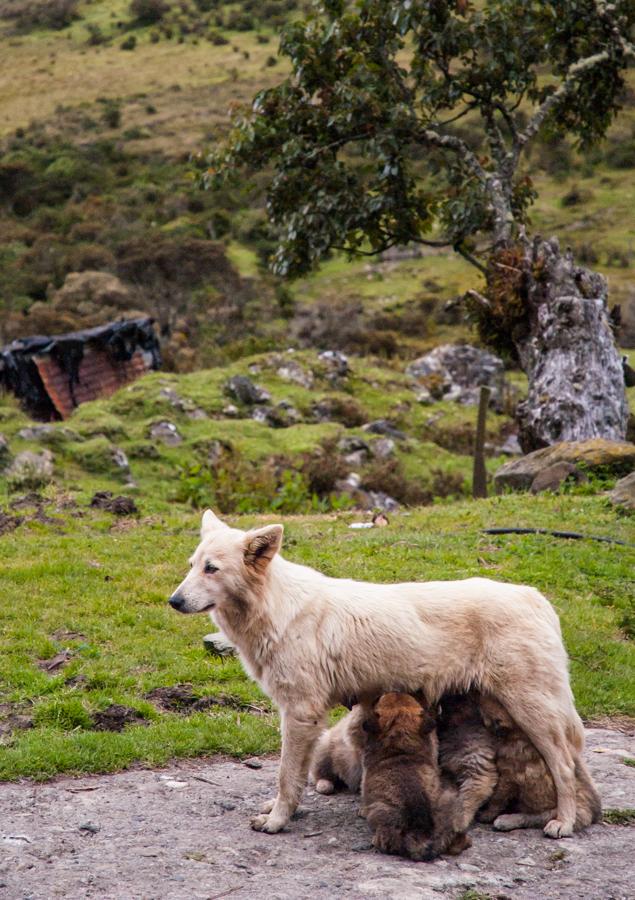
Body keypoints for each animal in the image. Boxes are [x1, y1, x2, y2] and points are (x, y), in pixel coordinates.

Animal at [169, 510, 588, 840]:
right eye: (192, 565)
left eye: (212, 568)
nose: (173, 601)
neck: (275, 607)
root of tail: (535, 597)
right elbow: (294, 777)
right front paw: (281, 811)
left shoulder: (301, 714)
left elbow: (287, 776)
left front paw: (277, 821)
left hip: (532, 712)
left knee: (564, 766)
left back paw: (563, 823)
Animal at [480, 692, 604, 832]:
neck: (518, 734)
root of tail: (592, 813)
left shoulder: (508, 777)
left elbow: (497, 799)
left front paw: (486, 814)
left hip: (555, 810)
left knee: (538, 817)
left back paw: (508, 820)